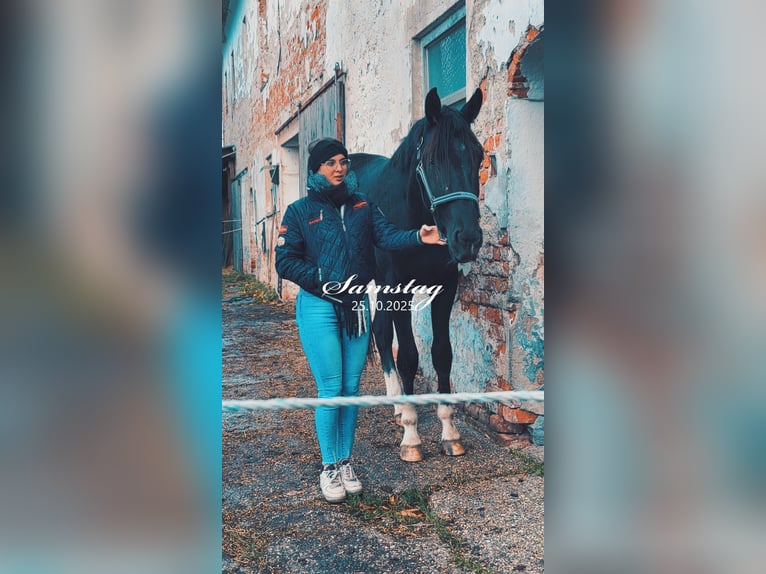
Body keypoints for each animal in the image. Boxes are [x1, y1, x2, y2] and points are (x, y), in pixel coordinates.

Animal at [350, 87, 484, 461]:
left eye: (479, 157)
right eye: (435, 162)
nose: (468, 239)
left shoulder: (445, 289)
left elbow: (442, 354)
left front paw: (449, 432)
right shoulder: (398, 288)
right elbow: (409, 355)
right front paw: (411, 436)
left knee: (380, 332)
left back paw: (397, 404)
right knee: (381, 335)